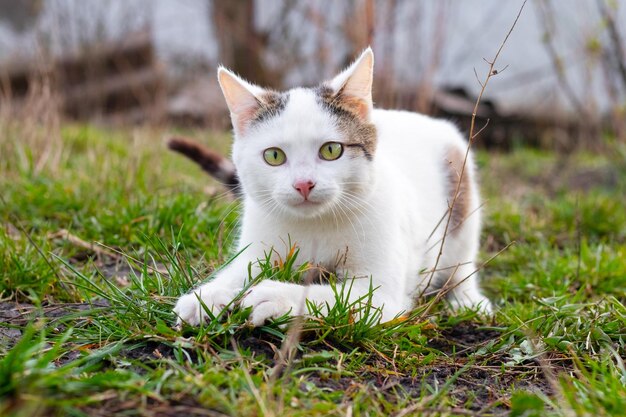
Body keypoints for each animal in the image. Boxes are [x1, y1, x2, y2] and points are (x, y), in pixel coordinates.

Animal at [173, 48, 490, 326]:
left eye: (331, 150)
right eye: (274, 156)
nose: (303, 184)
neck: (315, 224)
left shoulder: (382, 293)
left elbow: (339, 297)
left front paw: (275, 295)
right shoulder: (257, 245)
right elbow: (239, 270)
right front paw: (206, 296)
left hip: (463, 204)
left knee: (462, 264)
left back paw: (467, 299)